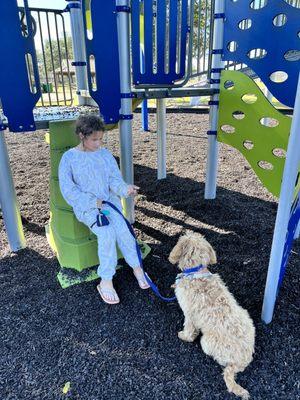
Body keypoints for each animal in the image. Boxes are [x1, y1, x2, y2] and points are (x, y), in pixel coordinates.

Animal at [169, 233, 255, 398]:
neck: (196, 271)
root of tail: (241, 362)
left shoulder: (189, 314)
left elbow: (189, 328)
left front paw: (184, 336)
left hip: (206, 341)